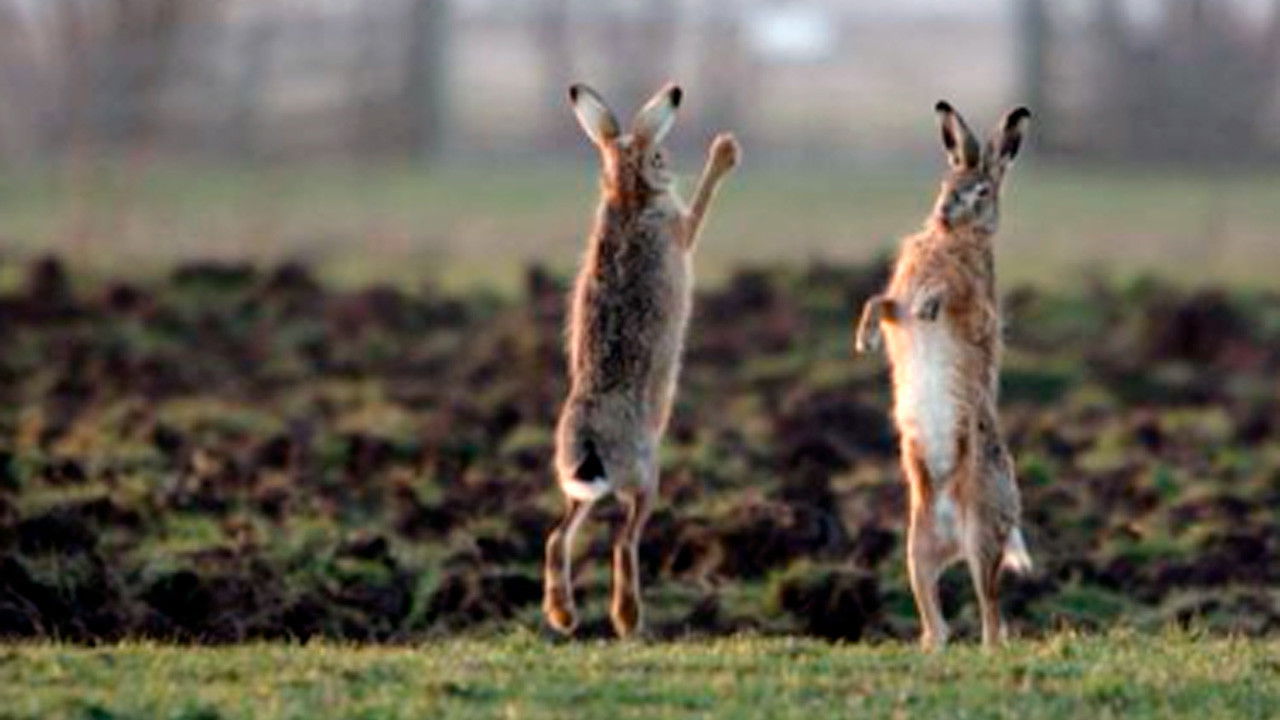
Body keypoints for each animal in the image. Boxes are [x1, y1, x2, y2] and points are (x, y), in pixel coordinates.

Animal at [543, 82, 740, 638]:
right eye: (657, 155)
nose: (667, 168)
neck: (626, 194)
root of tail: (590, 440)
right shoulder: (681, 228)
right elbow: (700, 204)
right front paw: (725, 152)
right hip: (646, 474)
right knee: (623, 540)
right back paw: (628, 620)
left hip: (579, 485)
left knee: (556, 537)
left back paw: (564, 616)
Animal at [855, 100, 1032, 649]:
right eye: (945, 183)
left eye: (982, 191)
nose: (945, 213)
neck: (952, 238)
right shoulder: (895, 302)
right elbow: (880, 301)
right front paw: (865, 339)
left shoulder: (976, 308)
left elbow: (950, 296)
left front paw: (930, 304)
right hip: (917, 549)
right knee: (939, 616)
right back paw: (930, 646)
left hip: (982, 535)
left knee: (992, 611)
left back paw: (989, 649)